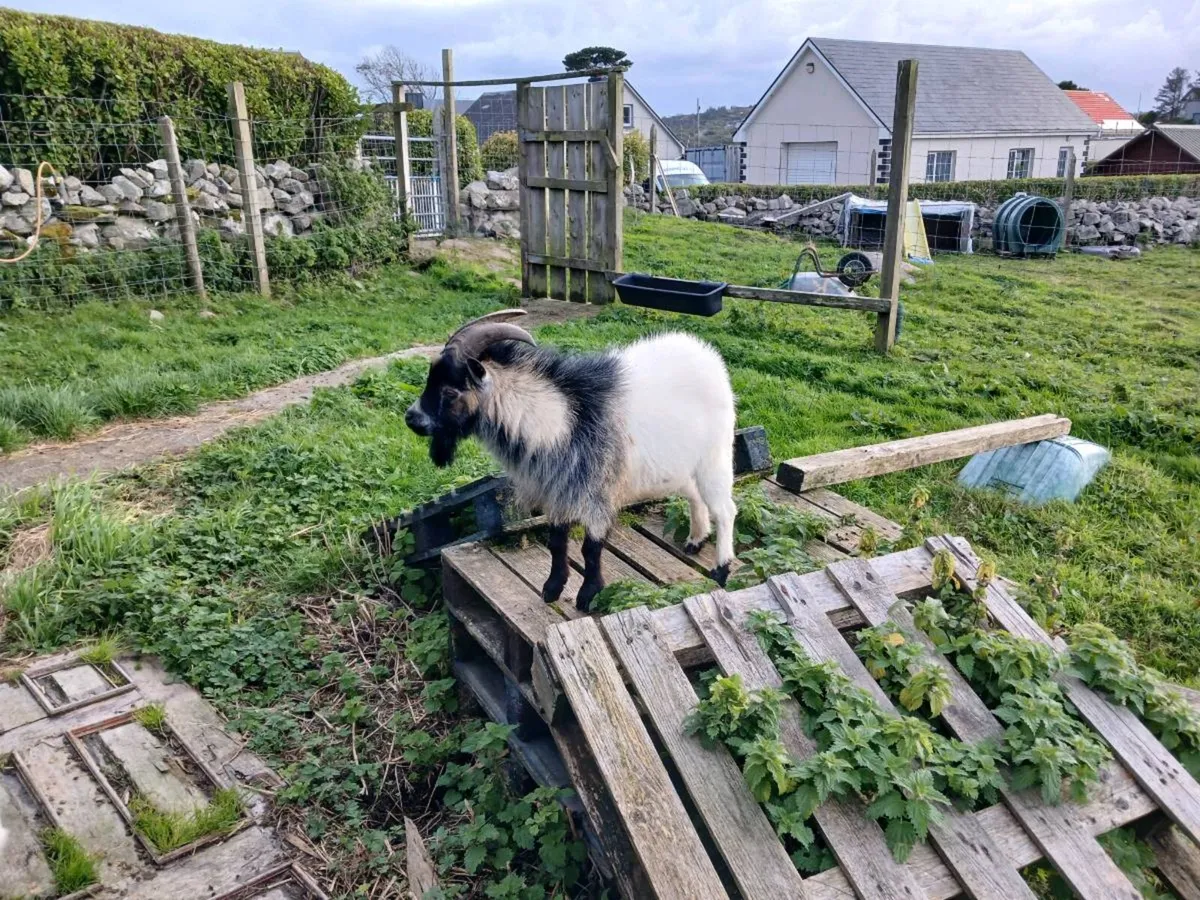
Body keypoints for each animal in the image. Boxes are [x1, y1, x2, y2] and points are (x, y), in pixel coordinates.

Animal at [405, 309, 737, 611]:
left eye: (450, 391)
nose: (412, 418)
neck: (561, 419)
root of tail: (706, 356)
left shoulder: (598, 492)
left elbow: (591, 547)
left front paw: (588, 596)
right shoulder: (557, 491)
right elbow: (557, 540)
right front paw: (552, 588)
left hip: (715, 456)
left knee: (725, 510)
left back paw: (721, 570)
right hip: (680, 465)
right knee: (695, 495)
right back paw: (695, 540)